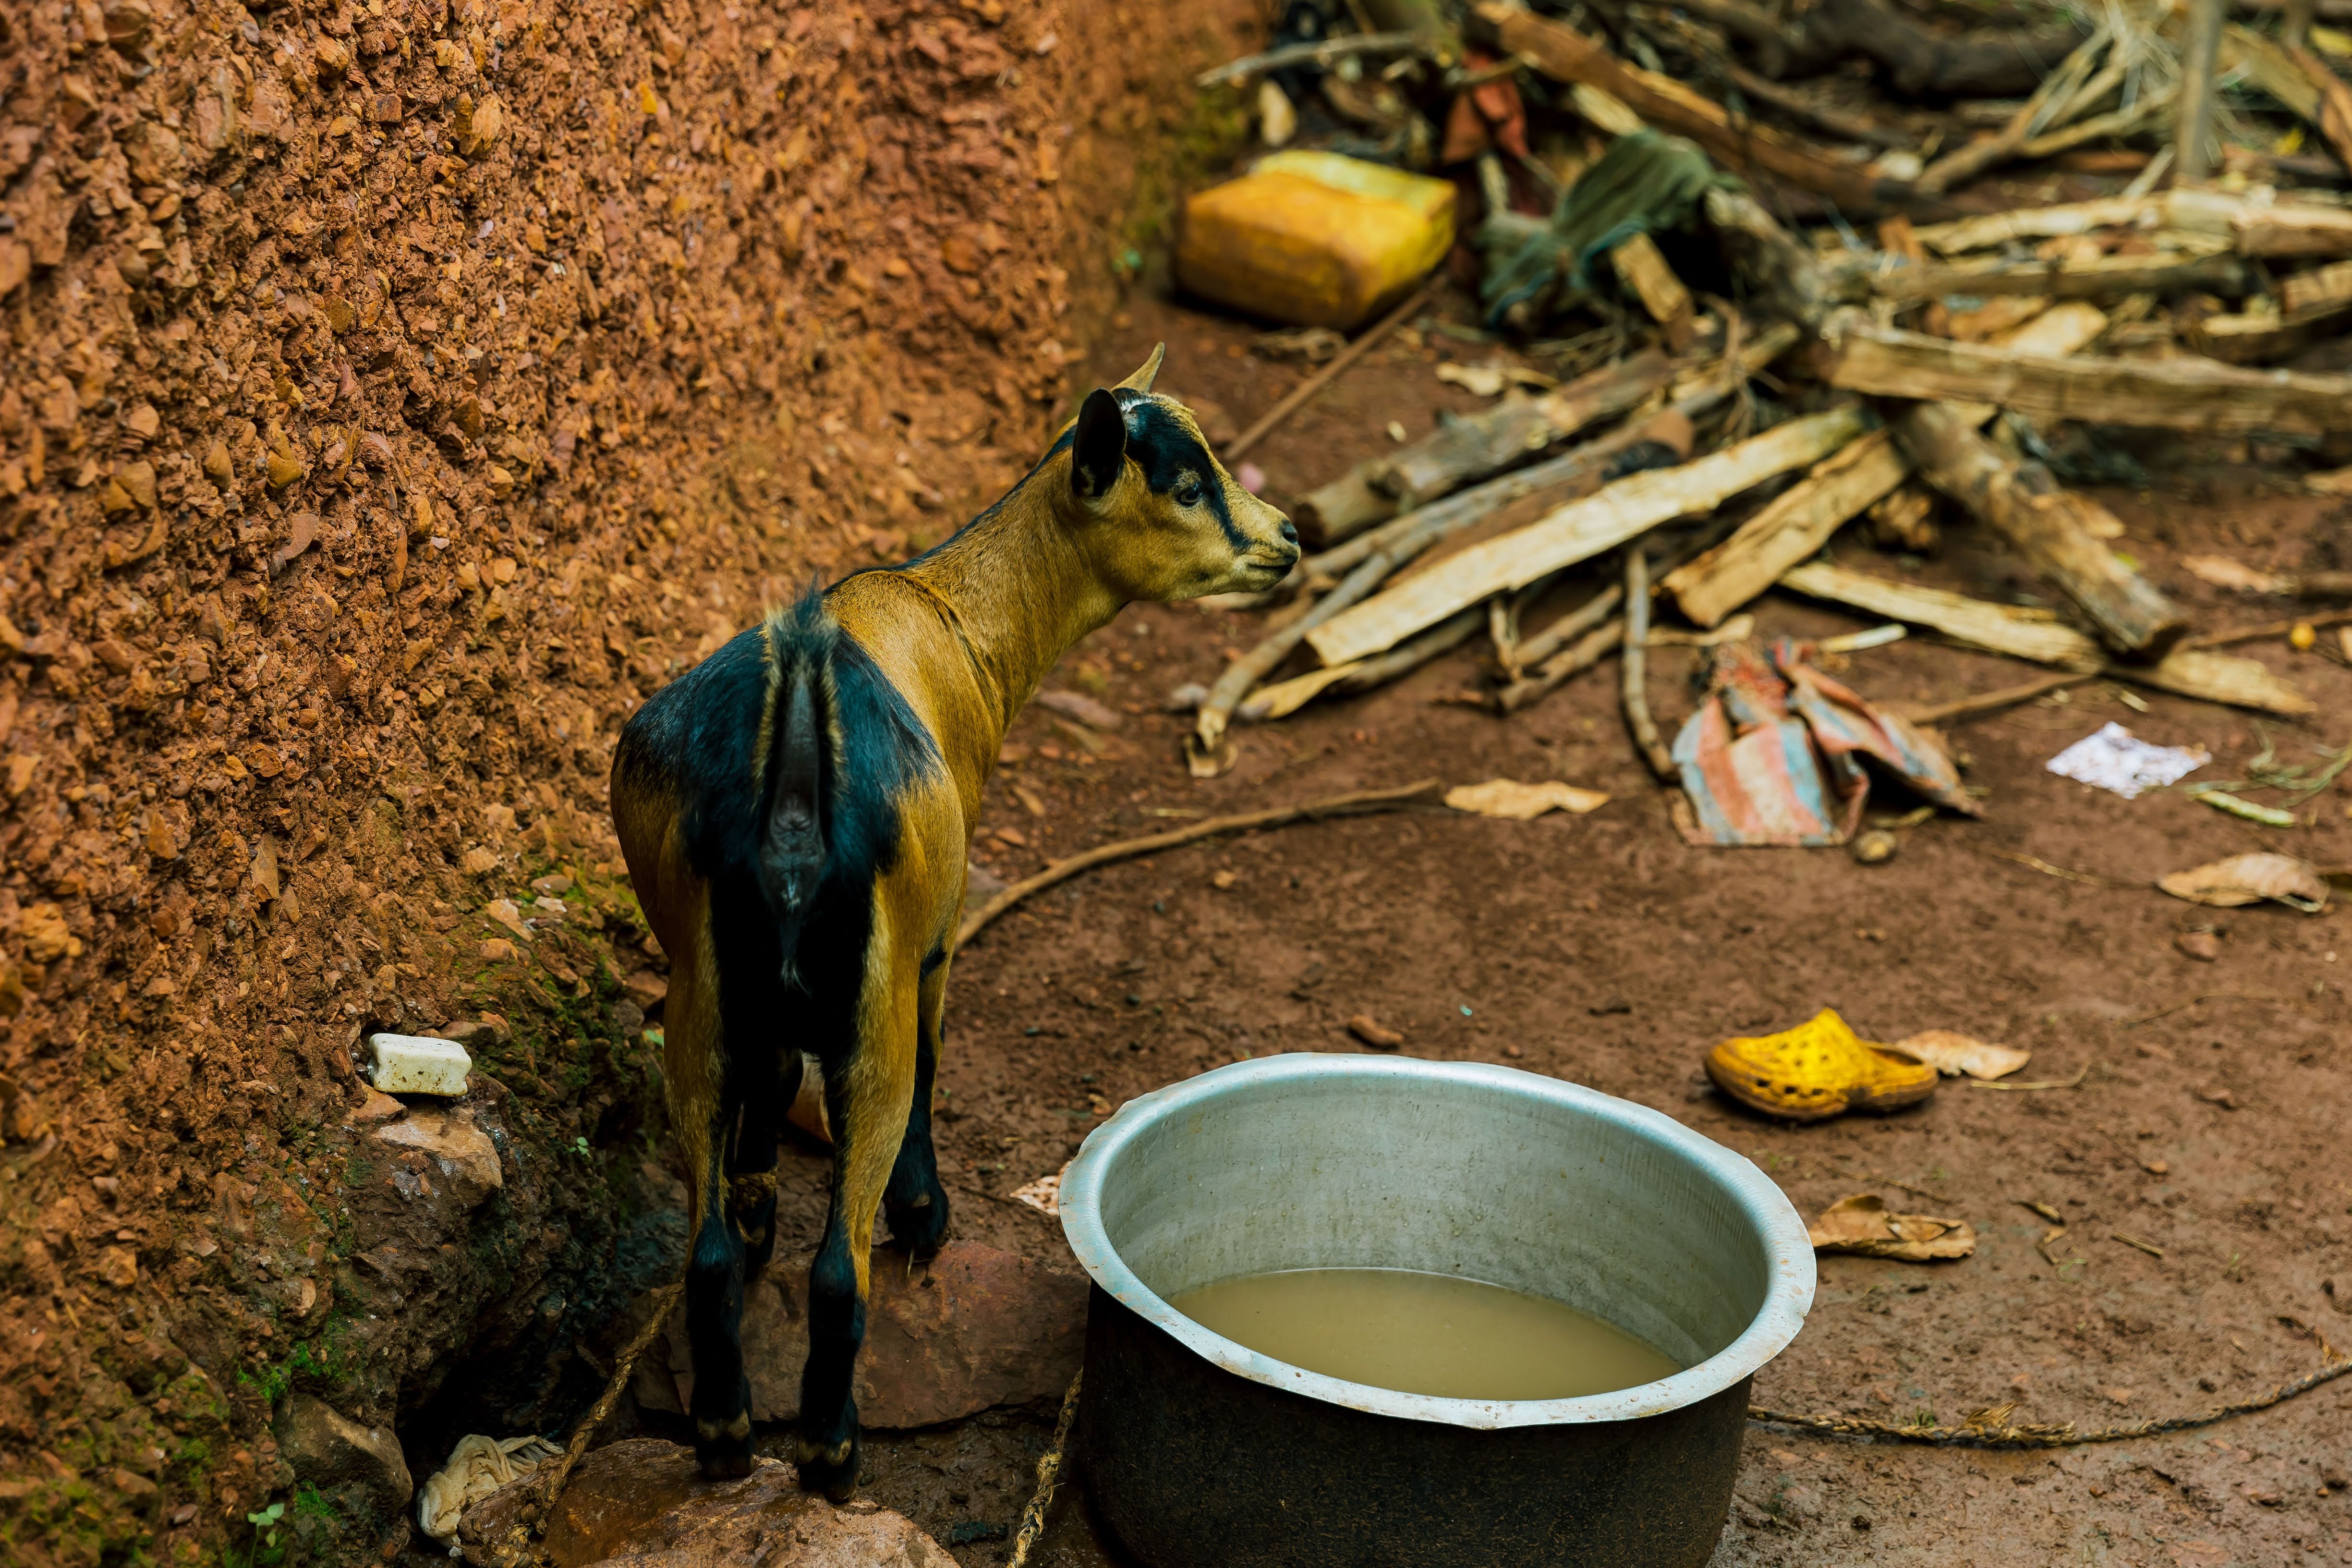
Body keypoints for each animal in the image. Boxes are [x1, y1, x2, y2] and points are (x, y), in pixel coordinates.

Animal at [610, 346, 1299, 1494]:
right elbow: (936, 1073)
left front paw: (756, 1199)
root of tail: (790, 788)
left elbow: (772, 1082)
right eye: (1183, 486)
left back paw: (724, 1434)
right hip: (871, 1006)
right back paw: (831, 1451)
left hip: (698, 997)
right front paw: (923, 1217)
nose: (1286, 540)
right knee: (840, 1267)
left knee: (704, 1254)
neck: (950, 613)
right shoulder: (931, 946)